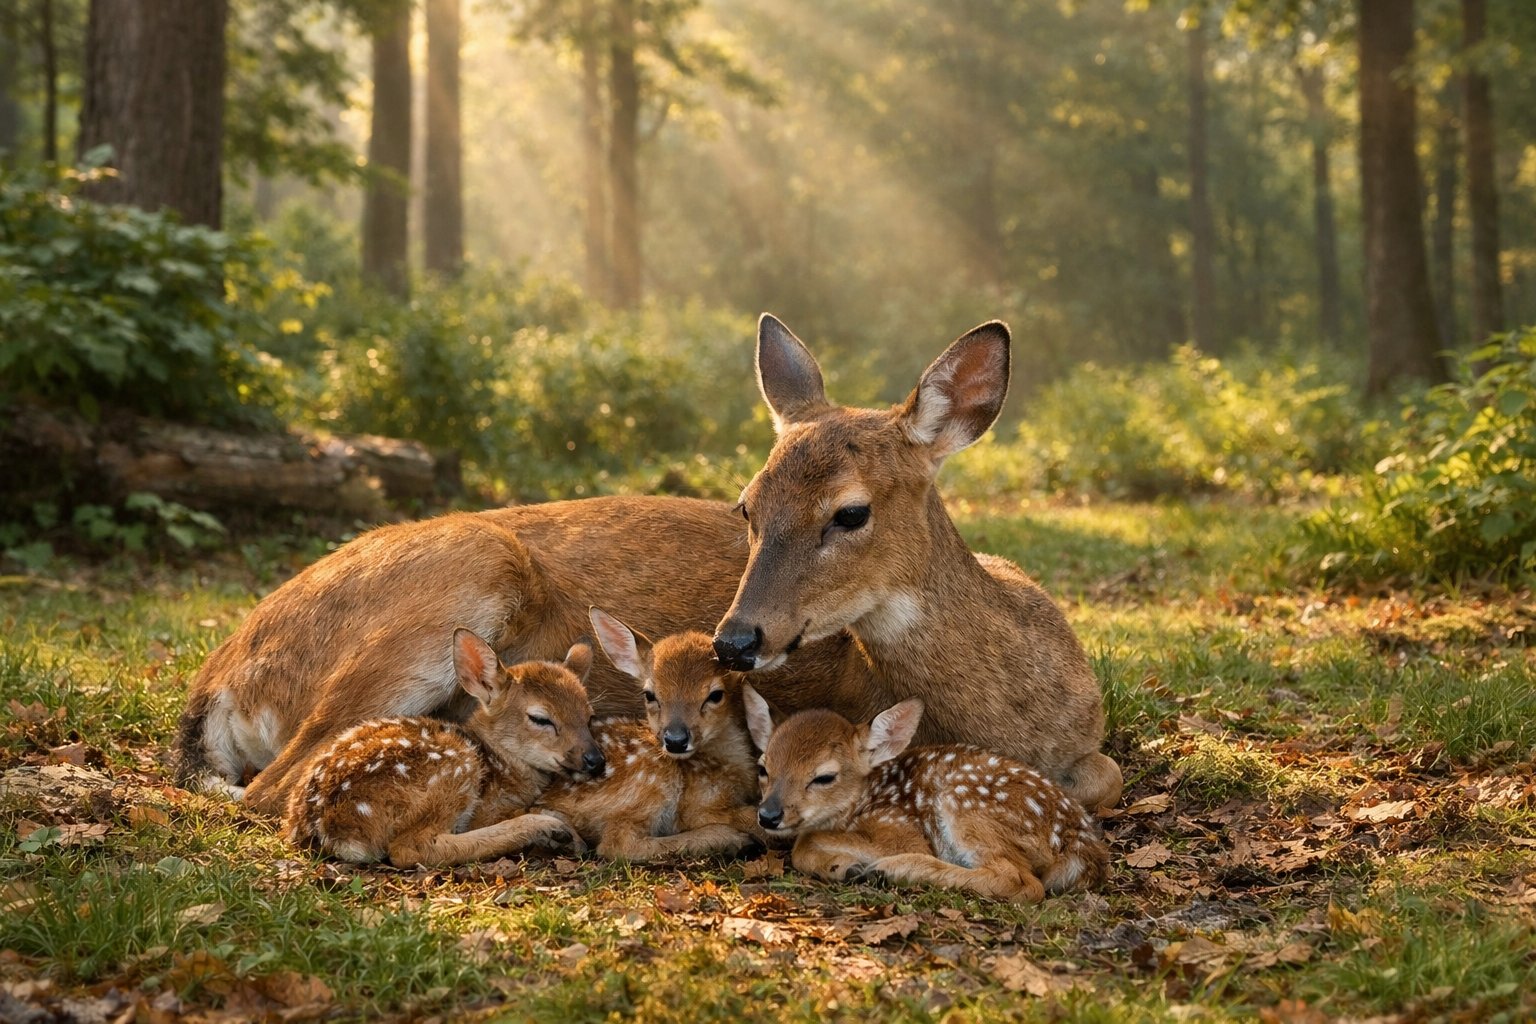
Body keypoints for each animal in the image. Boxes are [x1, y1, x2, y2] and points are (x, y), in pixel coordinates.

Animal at [176, 314, 1120, 818]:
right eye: (747, 505)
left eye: (851, 512)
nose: (735, 641)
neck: (1019, 710)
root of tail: (219, 681)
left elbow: (1104, 778)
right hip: (462, 571)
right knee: (276, 785)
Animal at [283, 629, 601, 867]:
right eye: (540, 718)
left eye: (589, 716)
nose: (594, 759)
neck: (503, 766)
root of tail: (331, 827)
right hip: (451, 766)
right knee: (411, 848)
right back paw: (549, 830)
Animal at [533, 608, 763, 861]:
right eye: (650, 695)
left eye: (716, 695)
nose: (675, 740)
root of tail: (544, 801)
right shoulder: (698, 806)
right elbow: (747, 815)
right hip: (651, 777)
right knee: (617, 844)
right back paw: (729, 839)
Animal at [743, 687, 1109, 903]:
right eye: (763, 768)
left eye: (824, 777)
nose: (769, 815)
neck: (865, 800)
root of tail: (1080, 848)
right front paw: (840, 866)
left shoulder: (900, 828)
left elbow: (803, 843)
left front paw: (845, 865)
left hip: (963, 801)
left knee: (1023, 883)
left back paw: (892, 870)